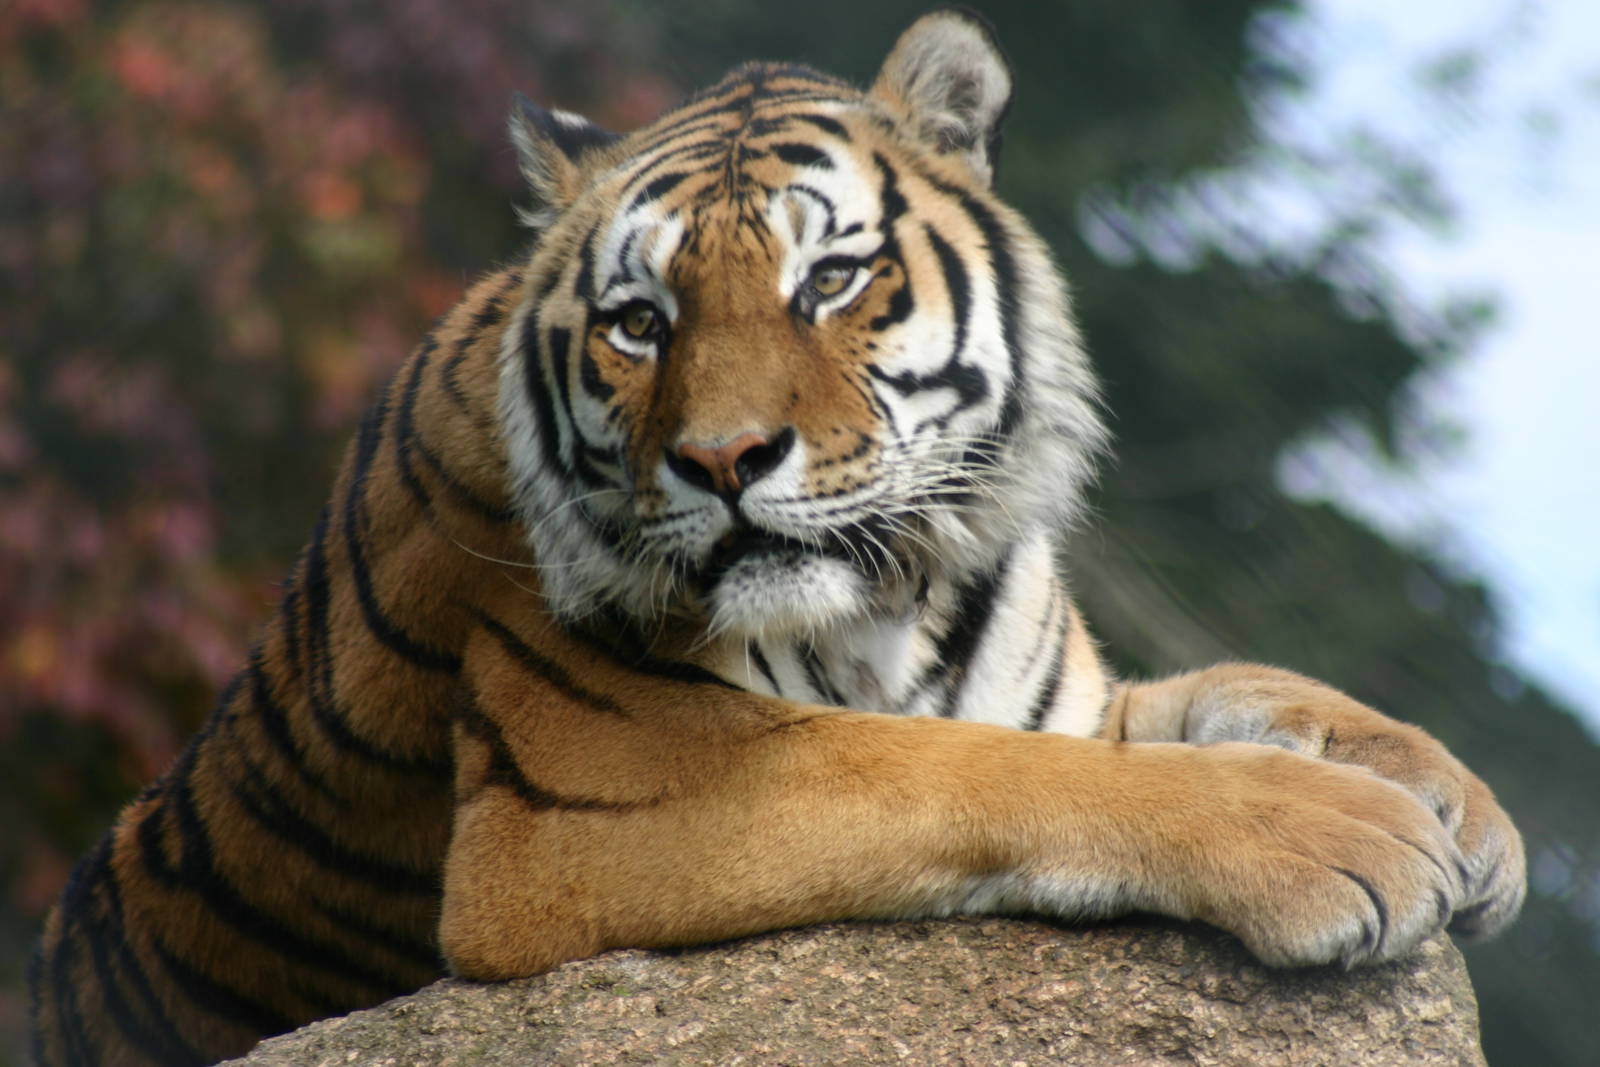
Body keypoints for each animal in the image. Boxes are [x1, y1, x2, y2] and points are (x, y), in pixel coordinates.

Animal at [30, 10, 1526, 1067]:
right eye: (640, 321)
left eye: (833, 278)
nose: (723, 459)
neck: (891, 603)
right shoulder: (581, 801)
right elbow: (970, 770)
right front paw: (1339, 833)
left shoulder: (1052, 687)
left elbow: (1231, 689)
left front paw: (1459, 804)